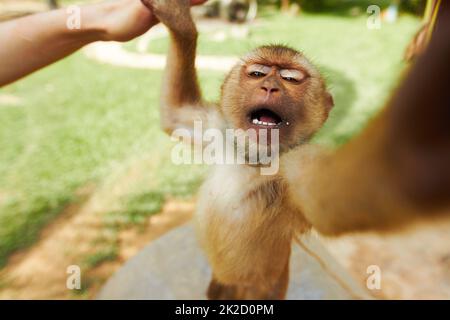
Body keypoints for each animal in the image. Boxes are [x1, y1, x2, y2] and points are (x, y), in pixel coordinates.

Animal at [146, 0, 332, 298]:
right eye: (257, 74)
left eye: (291, 79)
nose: (270, 86)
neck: (254, 160)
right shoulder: (218, 129)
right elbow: (176, 114)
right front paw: (180, 21)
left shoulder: (299, 166)